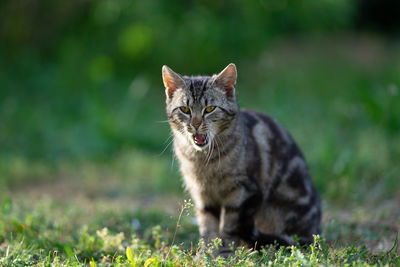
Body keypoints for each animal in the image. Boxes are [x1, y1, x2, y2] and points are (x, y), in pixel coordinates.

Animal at [161, 63, 320, 256]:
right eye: (185, 109)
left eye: (209, 109)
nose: (196, 124)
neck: (204, 160)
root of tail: (315, 230)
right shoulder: (203, 196)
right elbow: (208, 228)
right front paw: (206, 254)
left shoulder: (242, 193)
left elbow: (229, 227)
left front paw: (225, 253)